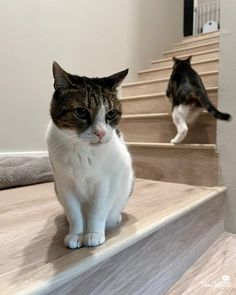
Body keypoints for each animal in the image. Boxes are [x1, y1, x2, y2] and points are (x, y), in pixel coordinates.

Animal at [47, 62, 134, 250]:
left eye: (111, 113)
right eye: (80, 112)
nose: (100, 133)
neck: (83, 151)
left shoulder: (106, 183)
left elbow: (98, 211)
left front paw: (93, 234)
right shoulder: (64, 184)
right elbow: (74, 213)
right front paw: (76, 235)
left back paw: (114, 218)